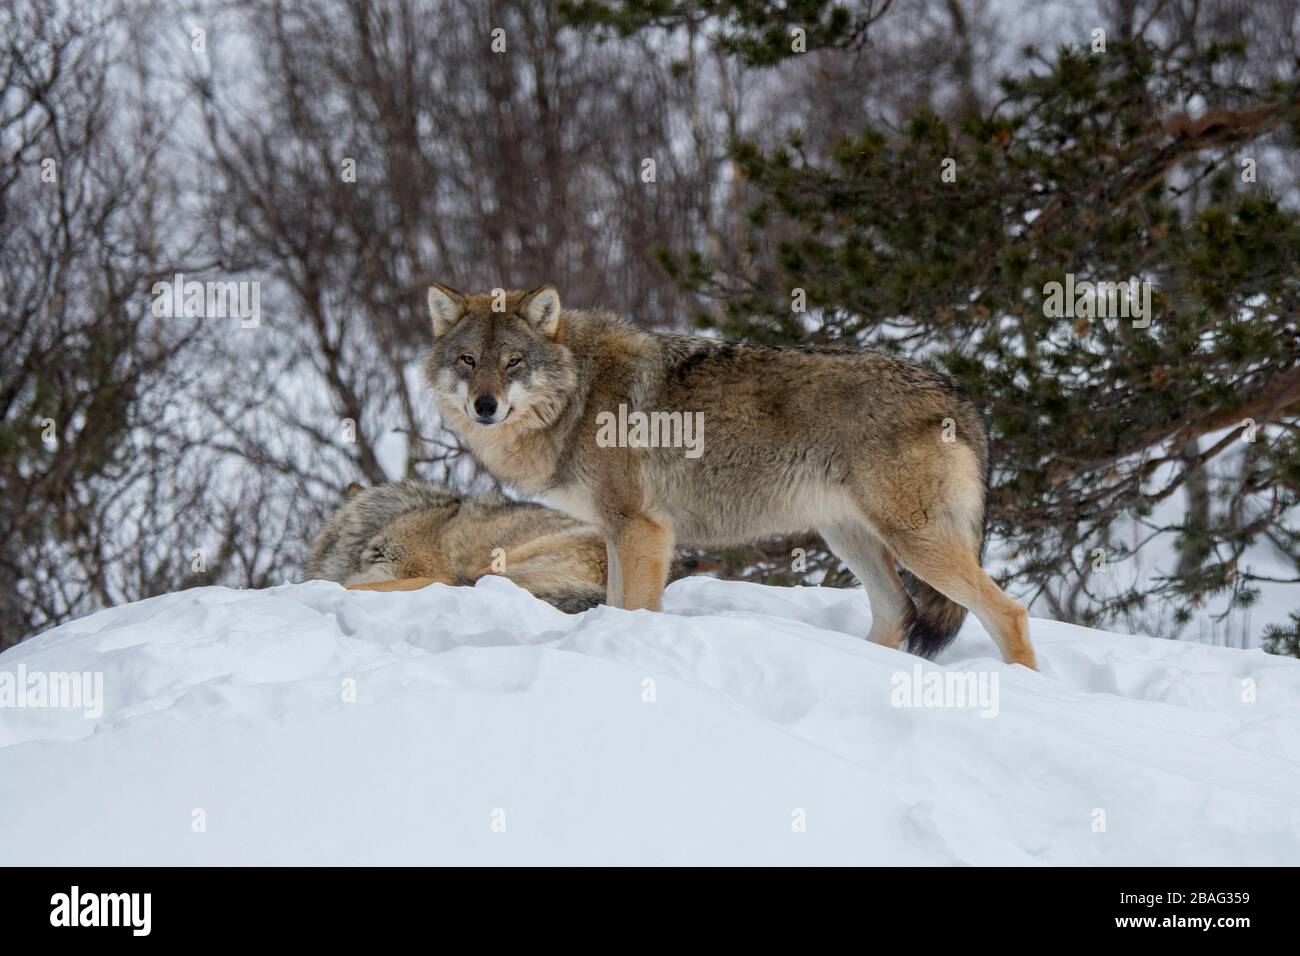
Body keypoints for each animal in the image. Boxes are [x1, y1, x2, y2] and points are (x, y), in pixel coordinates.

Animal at [420, 283, 1037, 668]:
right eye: (469, 361)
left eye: (514, 363)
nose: (484, 406)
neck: (579, 394)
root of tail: (959, 394)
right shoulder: (617, 534)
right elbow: (615, 604)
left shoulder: (643, 532)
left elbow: (634, 609)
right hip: (851, 538)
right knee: (897, 613)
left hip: (915, 543)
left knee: (1008, 611)